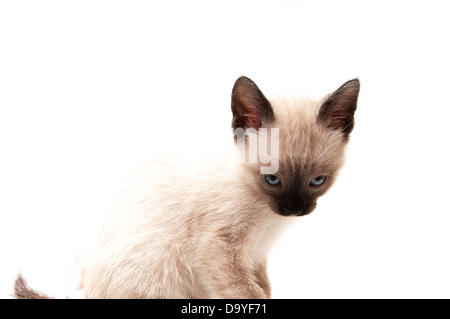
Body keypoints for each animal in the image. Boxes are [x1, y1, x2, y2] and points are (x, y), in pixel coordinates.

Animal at [12, 75, 360, 300]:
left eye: (317, 181)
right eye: (272, 179)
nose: (295, 209)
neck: (266, 216)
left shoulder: (255, 255)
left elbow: (263, 287)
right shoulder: (219, 247)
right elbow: (246, 292)